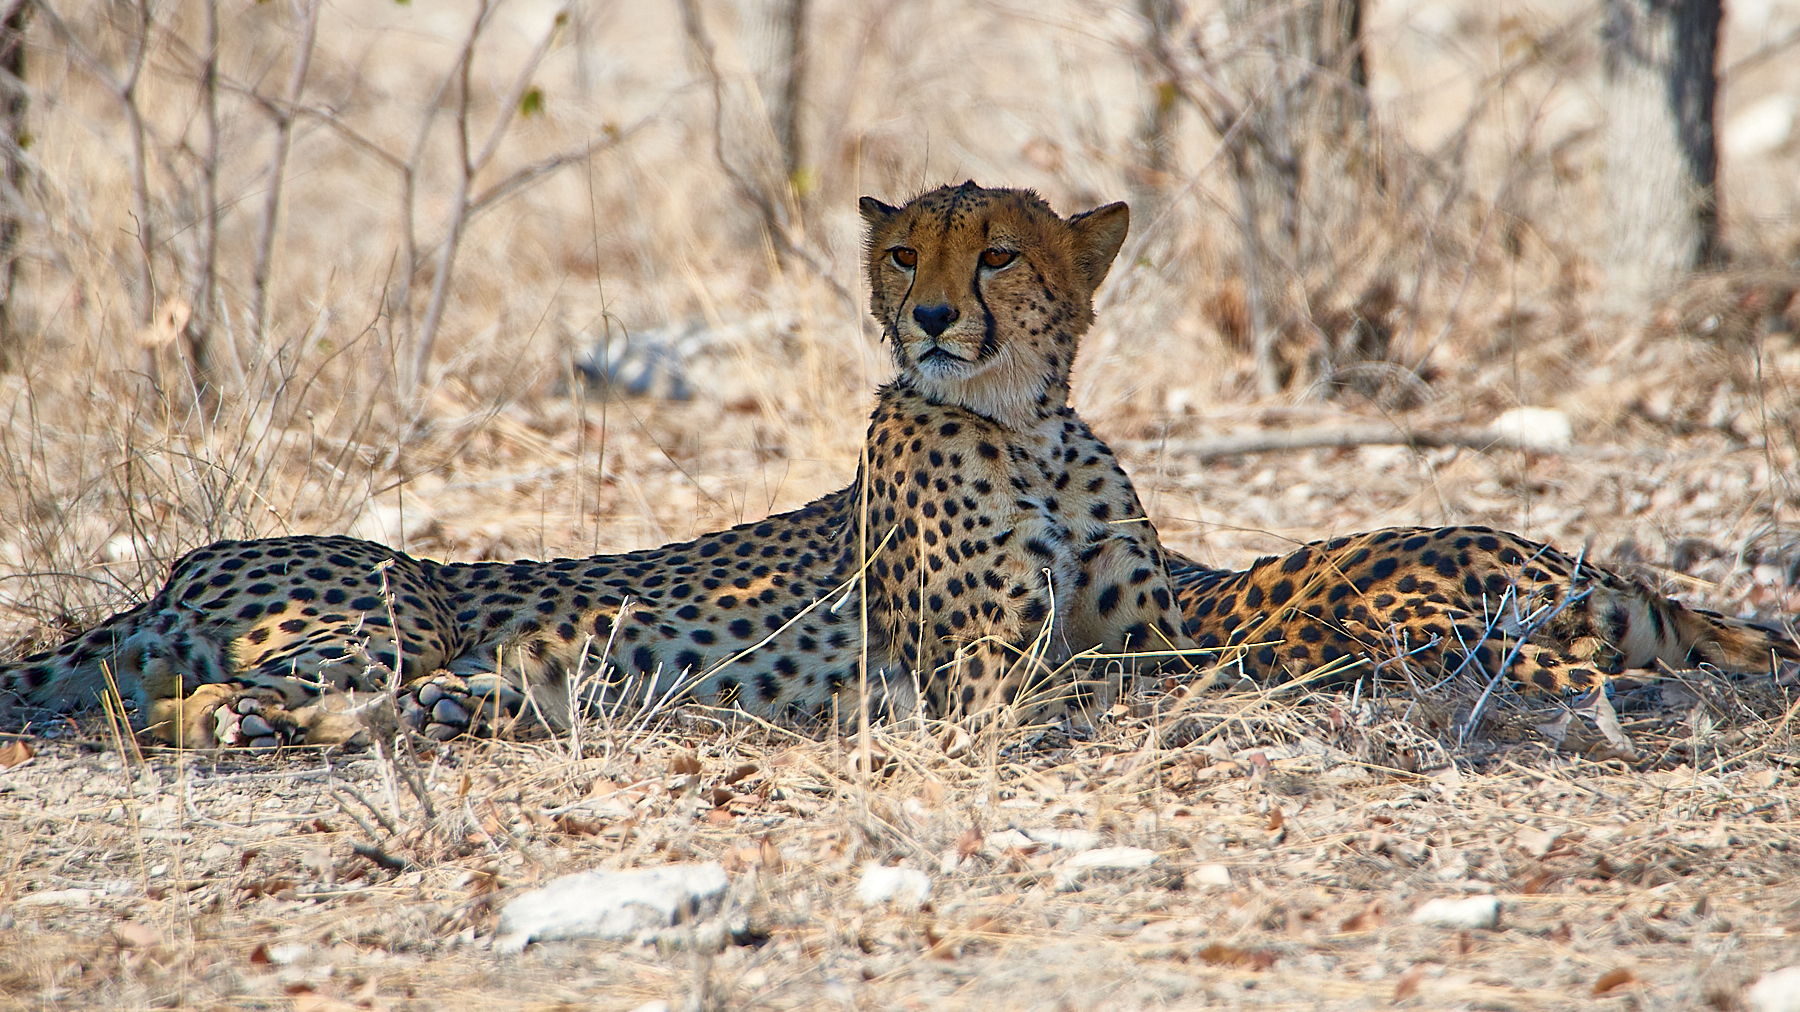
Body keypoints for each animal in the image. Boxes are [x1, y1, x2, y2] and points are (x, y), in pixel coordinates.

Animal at [0, 182, 1193, 748]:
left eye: (999, 254)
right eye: (905, 254)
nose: (933, 318)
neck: (1026, 425)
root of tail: (186, 564)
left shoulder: (1142, 630)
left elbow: (1169, 669)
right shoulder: (978, 670)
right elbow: (1101, 690)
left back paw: (457, 706)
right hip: (391, 613)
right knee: (184, 705)